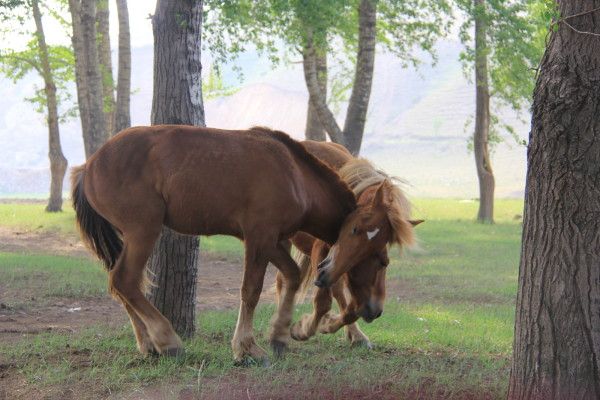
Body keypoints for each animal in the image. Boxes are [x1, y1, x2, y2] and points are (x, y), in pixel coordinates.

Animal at [71, 126, 398, 364]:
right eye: (380, 258)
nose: (374, 309)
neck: (293, 173)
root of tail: (89, 165)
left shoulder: (273, 241)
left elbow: (291, 276)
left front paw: (279, 335)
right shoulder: (258, 238)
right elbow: (250, 291)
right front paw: (246, 348)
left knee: (122, 284)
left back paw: (147, 342)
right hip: (143, 230)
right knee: (125, 281)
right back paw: (168, 341)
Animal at [274, 141, 420, 346]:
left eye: (382, 257)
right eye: (354, 229)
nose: (375, 310)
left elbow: (350, 307)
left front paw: (330, 324)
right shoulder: (323, 252)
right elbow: (323, 302)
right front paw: (303, 329)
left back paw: (355, 334)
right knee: (282, 280)